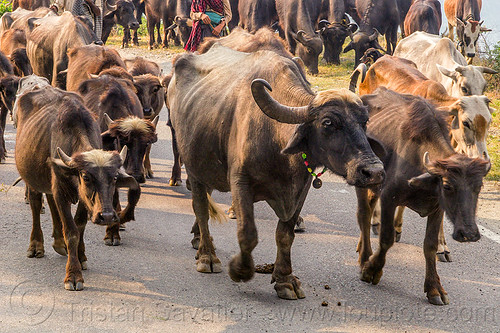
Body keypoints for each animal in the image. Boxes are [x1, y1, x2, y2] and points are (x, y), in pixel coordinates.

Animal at [14, 81, 140, 290]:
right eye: (86, 177)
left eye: (114, 178)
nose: (107, 216)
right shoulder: (61, 191)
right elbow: (71, 230)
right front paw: (73, 275)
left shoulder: (83, 199)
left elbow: (79, 225)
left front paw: (81, 257)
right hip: (31, 178)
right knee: (35, 203)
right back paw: (36, 245)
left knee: (50, 201)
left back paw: (58, 243)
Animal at [166, 43, 384, 298]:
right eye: (328, 123)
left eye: (364, 121)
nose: (374, 172)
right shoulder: (240, 181)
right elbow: (248, 232)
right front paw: (240, 269)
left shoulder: (301, 188)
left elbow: (285, 234)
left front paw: (285, 279)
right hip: (193, 166)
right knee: (200, 207)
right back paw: (207, 256)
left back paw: (199, 237)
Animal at [358, 87, 490, 304]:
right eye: (447, 186)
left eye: (478, 186)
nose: (469, 234)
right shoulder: (389, 198)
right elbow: (386, 238)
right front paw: (372, 270)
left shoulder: (437, 209)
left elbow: (430, 245)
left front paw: (434, 288)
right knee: (363, 215)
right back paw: (364, 256)